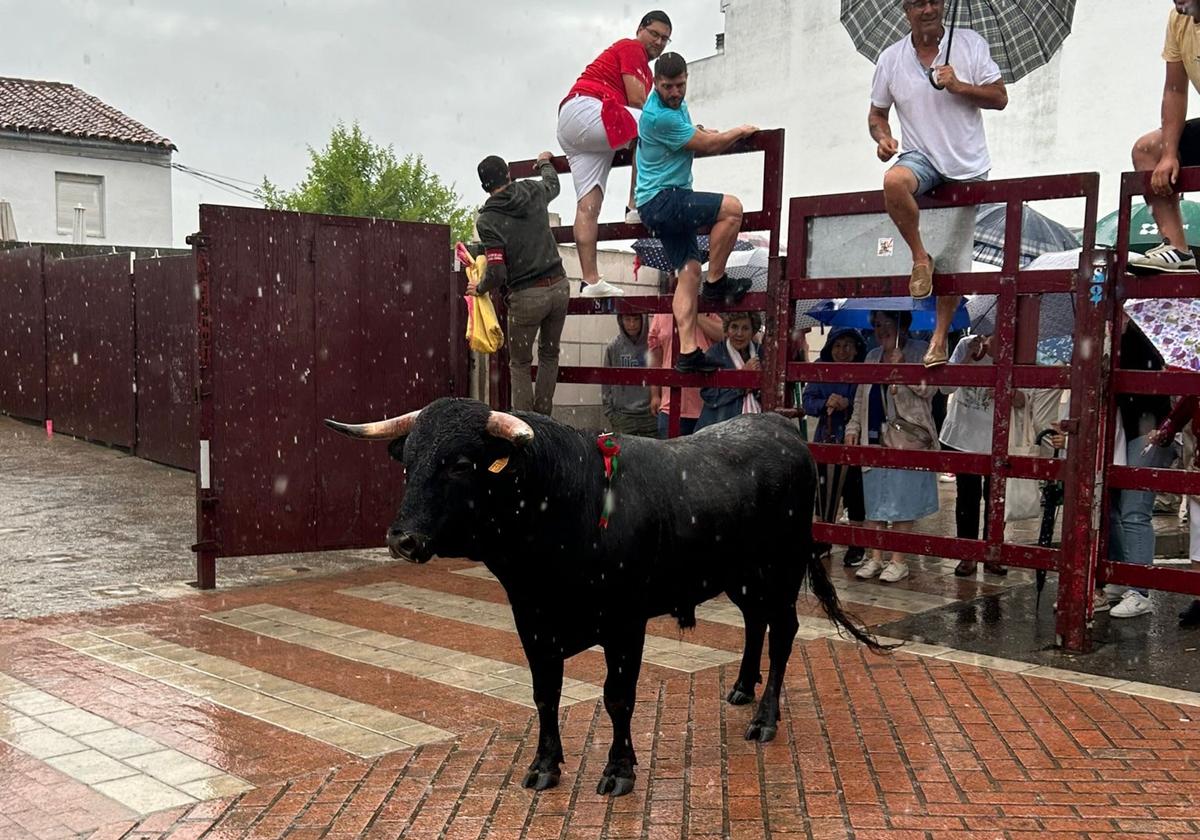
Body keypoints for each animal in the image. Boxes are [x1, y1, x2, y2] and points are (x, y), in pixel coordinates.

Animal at [324, 396, 888, 796]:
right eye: (408, 461)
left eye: (461, 463)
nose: (403, 539)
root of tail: (780, 428)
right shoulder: (533, 623)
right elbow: (545, 695)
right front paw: (544, 765)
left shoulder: (624, 624)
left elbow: (617, 697)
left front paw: (619, 771)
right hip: (741, 576)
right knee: (755, 623)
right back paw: (741, 689)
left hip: (782, 571)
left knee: (783, 632)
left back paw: (765, 718)